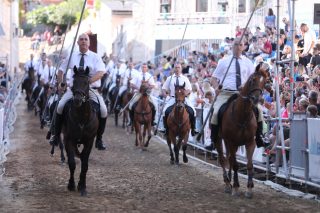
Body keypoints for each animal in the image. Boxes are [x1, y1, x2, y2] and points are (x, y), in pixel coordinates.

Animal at [61, 65, 98, 196]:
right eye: (74, 81)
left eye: (86, 82)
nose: (77, 99)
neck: (82, 118)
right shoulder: (68, 140)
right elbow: (72, 163)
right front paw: (71, 185)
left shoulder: (89, 141)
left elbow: (85, 165)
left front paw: (82, 186)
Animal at [215, 63, 268, 198]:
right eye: (252, 80)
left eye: (264, 83)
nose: (256, 99)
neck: (242, 115)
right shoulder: (232, 142)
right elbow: (235, 165)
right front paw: (236, 187)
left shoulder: (250, 142)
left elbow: (249, 165)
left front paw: (249, 188)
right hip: (220, 140)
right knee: (223, 159)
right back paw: (227, 183)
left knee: (228, 158)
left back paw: (229, 180)